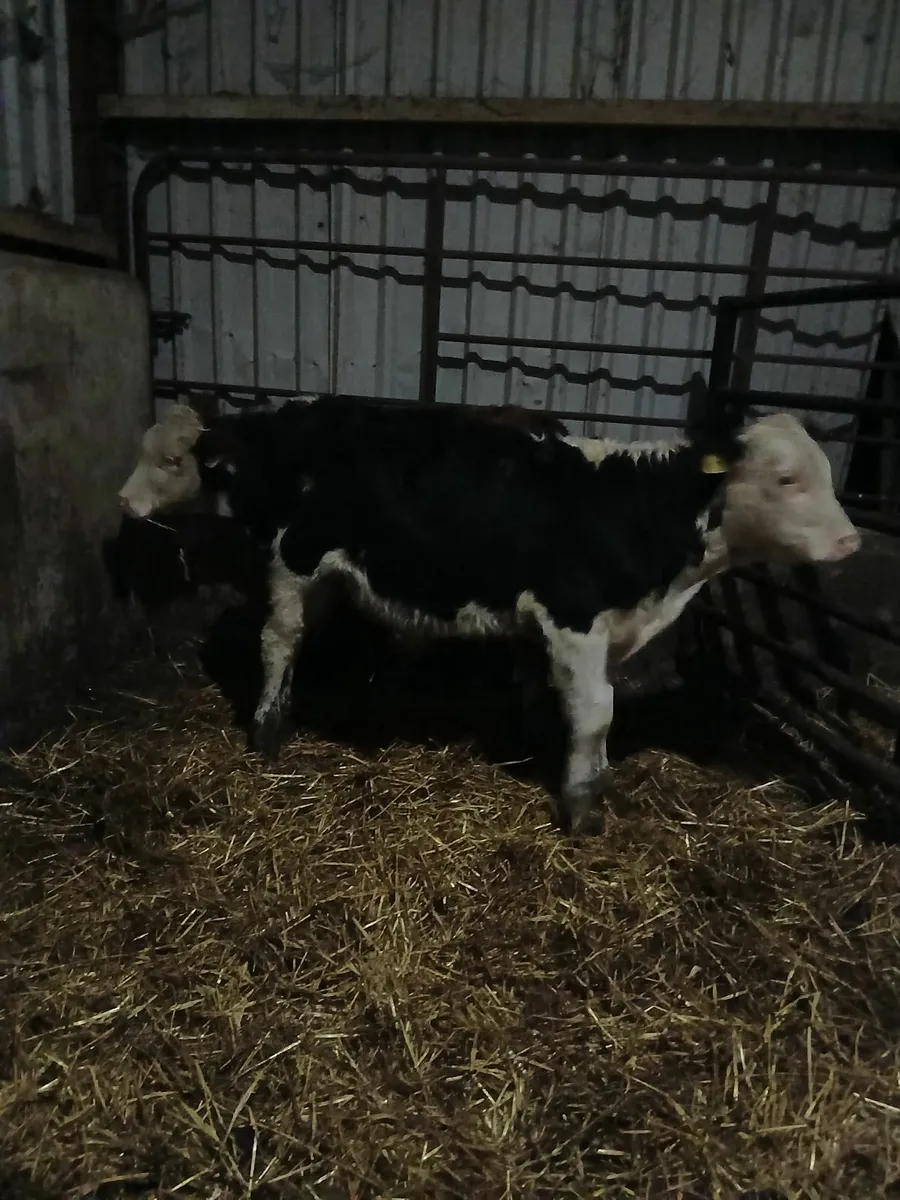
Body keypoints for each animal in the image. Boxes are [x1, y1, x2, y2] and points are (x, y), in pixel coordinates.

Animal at [118, 395, 860, 832]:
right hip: (289, 563)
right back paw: (269, 731)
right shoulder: (573, 620)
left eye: (827, 475)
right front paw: (582, 807)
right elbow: (596, 714)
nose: (851, 542)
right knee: (278, 640)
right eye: (787, 479)